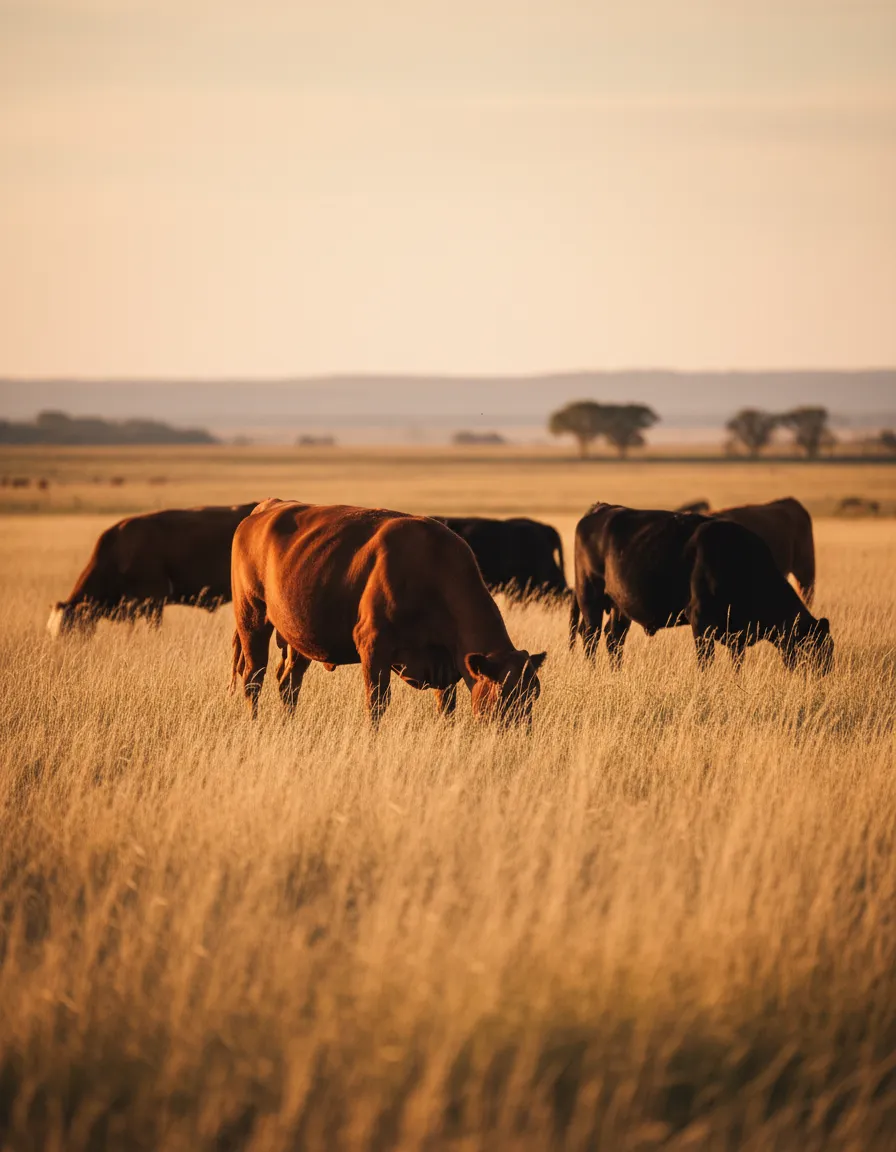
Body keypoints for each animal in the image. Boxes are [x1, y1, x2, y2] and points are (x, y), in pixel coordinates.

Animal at [230, 500, 546, 727]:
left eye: (534, 693)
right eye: (504, 692)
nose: (521, 733)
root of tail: (268, 506)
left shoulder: (445, 664)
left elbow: (445, 708)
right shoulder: (373, 646)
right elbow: (377, 703)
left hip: (297, 635)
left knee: (289, 682)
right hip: (252, 617)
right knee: (253, 677)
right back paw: (254, 724)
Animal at [569, 503, 833, 674]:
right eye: (813, 648)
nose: (823, 675)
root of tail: (600, 508)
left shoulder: (736, 633)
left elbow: (737, 663)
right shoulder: (700, 620)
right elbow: (706, 661)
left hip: (620, 605)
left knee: (614, 638)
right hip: (590, 596)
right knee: (590, 636)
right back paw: (593, 672)